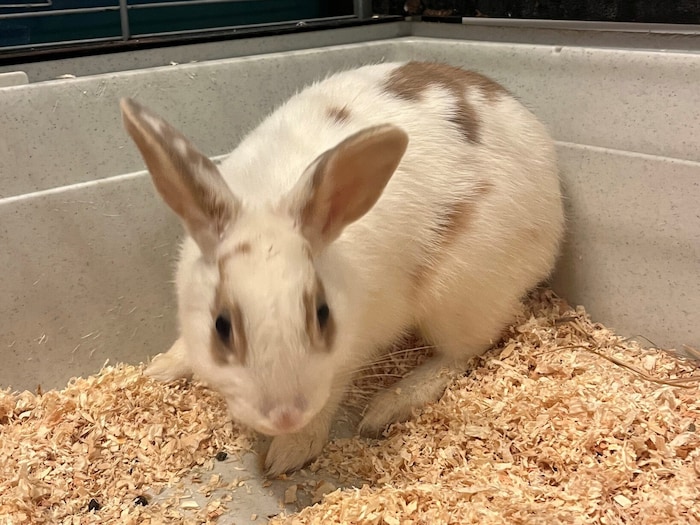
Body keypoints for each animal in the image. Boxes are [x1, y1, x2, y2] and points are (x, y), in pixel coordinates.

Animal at [120, 61, 564, 477]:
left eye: (322, 314)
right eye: (221, 326)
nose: (285, 415)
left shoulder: (350, 354)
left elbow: (330, 395)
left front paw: (288, 452)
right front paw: (161, 369)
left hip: (460, 298)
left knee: (465, 352)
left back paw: (387, 406)